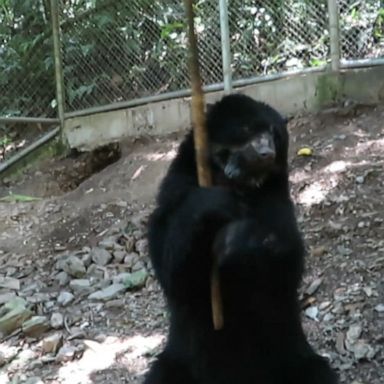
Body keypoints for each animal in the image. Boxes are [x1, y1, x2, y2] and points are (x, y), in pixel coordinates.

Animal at [145, 94, 340, 384]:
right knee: (161, 374)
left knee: (316, 372)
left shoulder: (275, 203)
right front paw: (212, 207)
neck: (237, 188)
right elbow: (173, 272)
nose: (266, 154)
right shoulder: (173, 195)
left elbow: (285, 265)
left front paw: (235, 242)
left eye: (274, 135)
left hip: (289, 355)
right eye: (247, 129)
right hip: (181, 362)